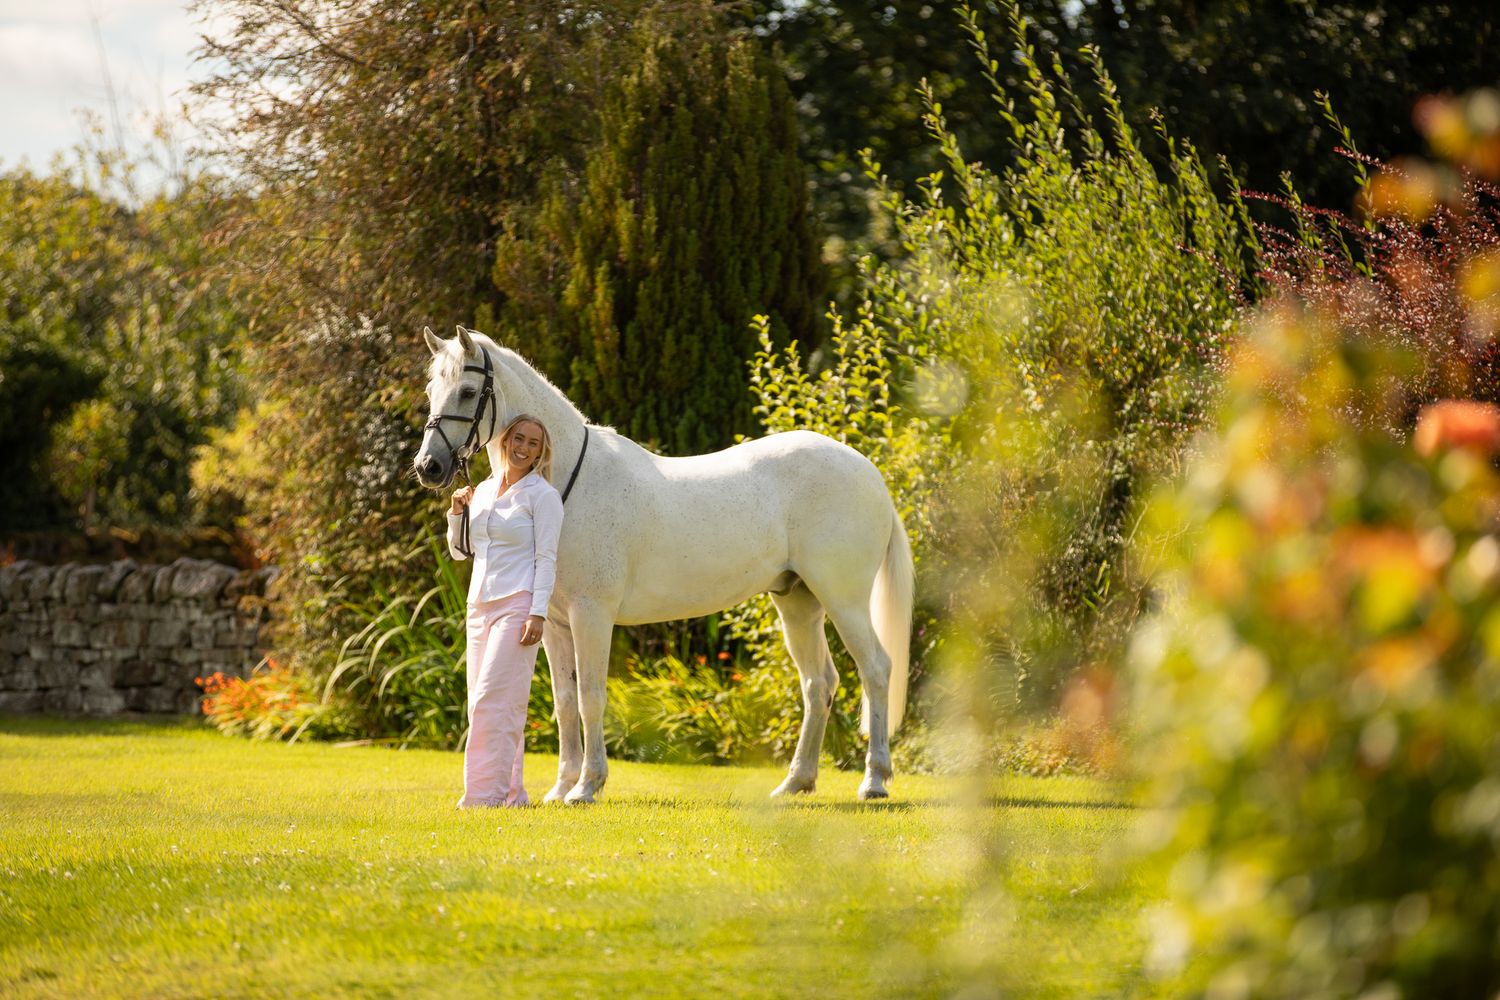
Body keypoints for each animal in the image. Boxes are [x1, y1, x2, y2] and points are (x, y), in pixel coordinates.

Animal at [412, 326, 914, 803]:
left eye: (468, 392)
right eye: (432, 390)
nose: (428, 467)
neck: (568, 482)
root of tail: (869, 473)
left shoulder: (591, 615)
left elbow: (591, 698)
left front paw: (586, 786)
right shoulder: (551, 623)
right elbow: (564, 702)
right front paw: (560, 787)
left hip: (844, 601)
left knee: (875, 670)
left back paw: (874, 781)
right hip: (798, 602)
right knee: (818, 684)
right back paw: (796, 782)